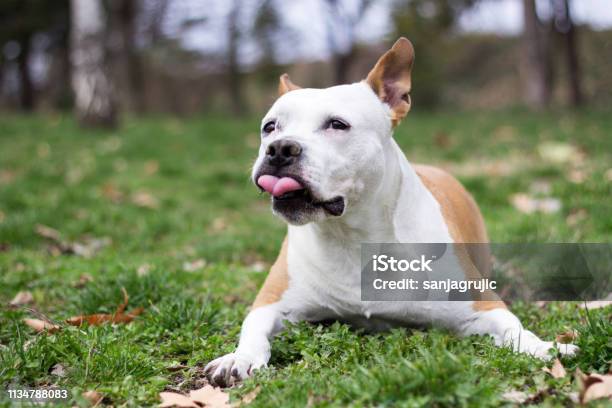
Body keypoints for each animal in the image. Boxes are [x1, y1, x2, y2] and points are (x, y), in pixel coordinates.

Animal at [206, 37, 580, 386]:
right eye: (270, 127)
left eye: (337, 125)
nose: (280, 149)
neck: (352, 236)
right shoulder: (271, 302)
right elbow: (253, 328)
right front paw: (238, 358)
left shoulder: (483, 305)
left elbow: (515, 329)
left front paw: (546, 347)